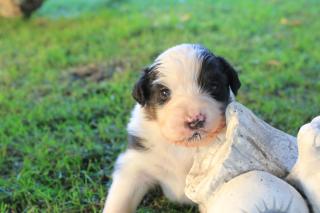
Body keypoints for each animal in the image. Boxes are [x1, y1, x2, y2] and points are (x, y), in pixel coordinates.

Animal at [104, 44, 241, 212]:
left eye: (213, 86)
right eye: (164, 93)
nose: (195, 120)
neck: (183, 148)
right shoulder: (134, 165)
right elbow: (120, 200)